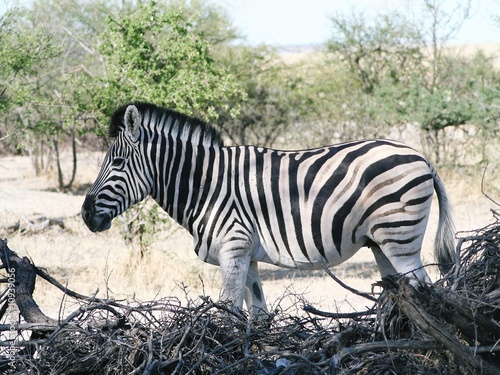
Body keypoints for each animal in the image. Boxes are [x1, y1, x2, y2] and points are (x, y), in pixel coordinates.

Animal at [83, 102, 458, 318]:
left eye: (117, 163)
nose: (86, 214)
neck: (206, 185)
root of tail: (422, 157)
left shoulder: (233, 249)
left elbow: (228, 313)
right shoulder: (245, 255)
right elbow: (258, 314)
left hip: (400, 237)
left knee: (426, 290)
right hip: (381, 244)